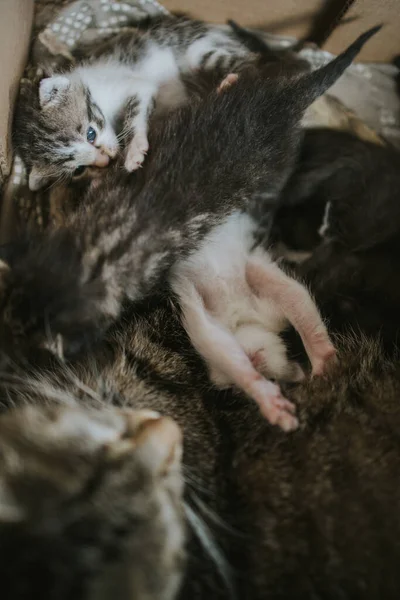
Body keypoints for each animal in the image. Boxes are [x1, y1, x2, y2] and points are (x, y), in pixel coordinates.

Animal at [14, 12, 268, 191]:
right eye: (79, 169)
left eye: (90, 134)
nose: (105, 161)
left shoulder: (135, 85)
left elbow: (134, 115)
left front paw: (134, 150)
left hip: (199, 51)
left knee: (250, 62)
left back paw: (230, 80)